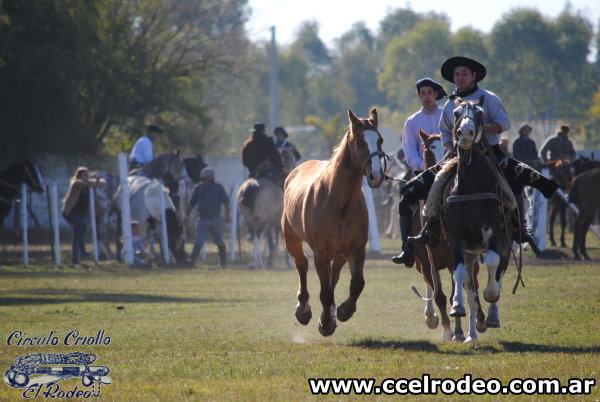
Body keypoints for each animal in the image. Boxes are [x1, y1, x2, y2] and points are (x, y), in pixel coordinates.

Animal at [282, 107, 384, 336]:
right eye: (360, 141)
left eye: (380, 140)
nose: (376, 176)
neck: (338, 201)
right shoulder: (321, 252)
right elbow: (325, 292)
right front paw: (326, 323)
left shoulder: (356, 249)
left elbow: (357, 284)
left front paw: (344, 311)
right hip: (291, 239)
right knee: (302, 264)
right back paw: (303, 309)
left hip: (340, 253)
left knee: (334, 274)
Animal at [442, 97, 512, 342]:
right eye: (455, 113)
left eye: (480, 113)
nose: (465, 133)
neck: (471, 186)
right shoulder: (456, 238)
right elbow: (460, 274)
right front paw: (457, 306)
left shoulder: (494, 233)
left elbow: (492, 262)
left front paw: (491, 295)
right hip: (471, 253)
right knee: (470, 289)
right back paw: (471, 334)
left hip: (506, 244)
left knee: (500, 271)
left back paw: (491, 317)